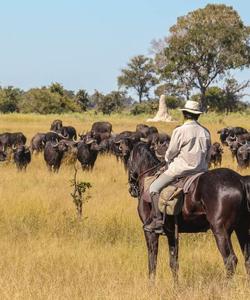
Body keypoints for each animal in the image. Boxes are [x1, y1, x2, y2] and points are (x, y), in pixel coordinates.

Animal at [128, 142, 250, 278]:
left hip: (220, 230)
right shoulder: (171, 233)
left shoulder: (150, 232)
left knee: (230, 260)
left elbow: (152, 262)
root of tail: (240, 180)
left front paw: (151, 283)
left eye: (128, 160)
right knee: (247, 259)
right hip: (242, 228)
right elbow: (173, 263)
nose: (132, 189)